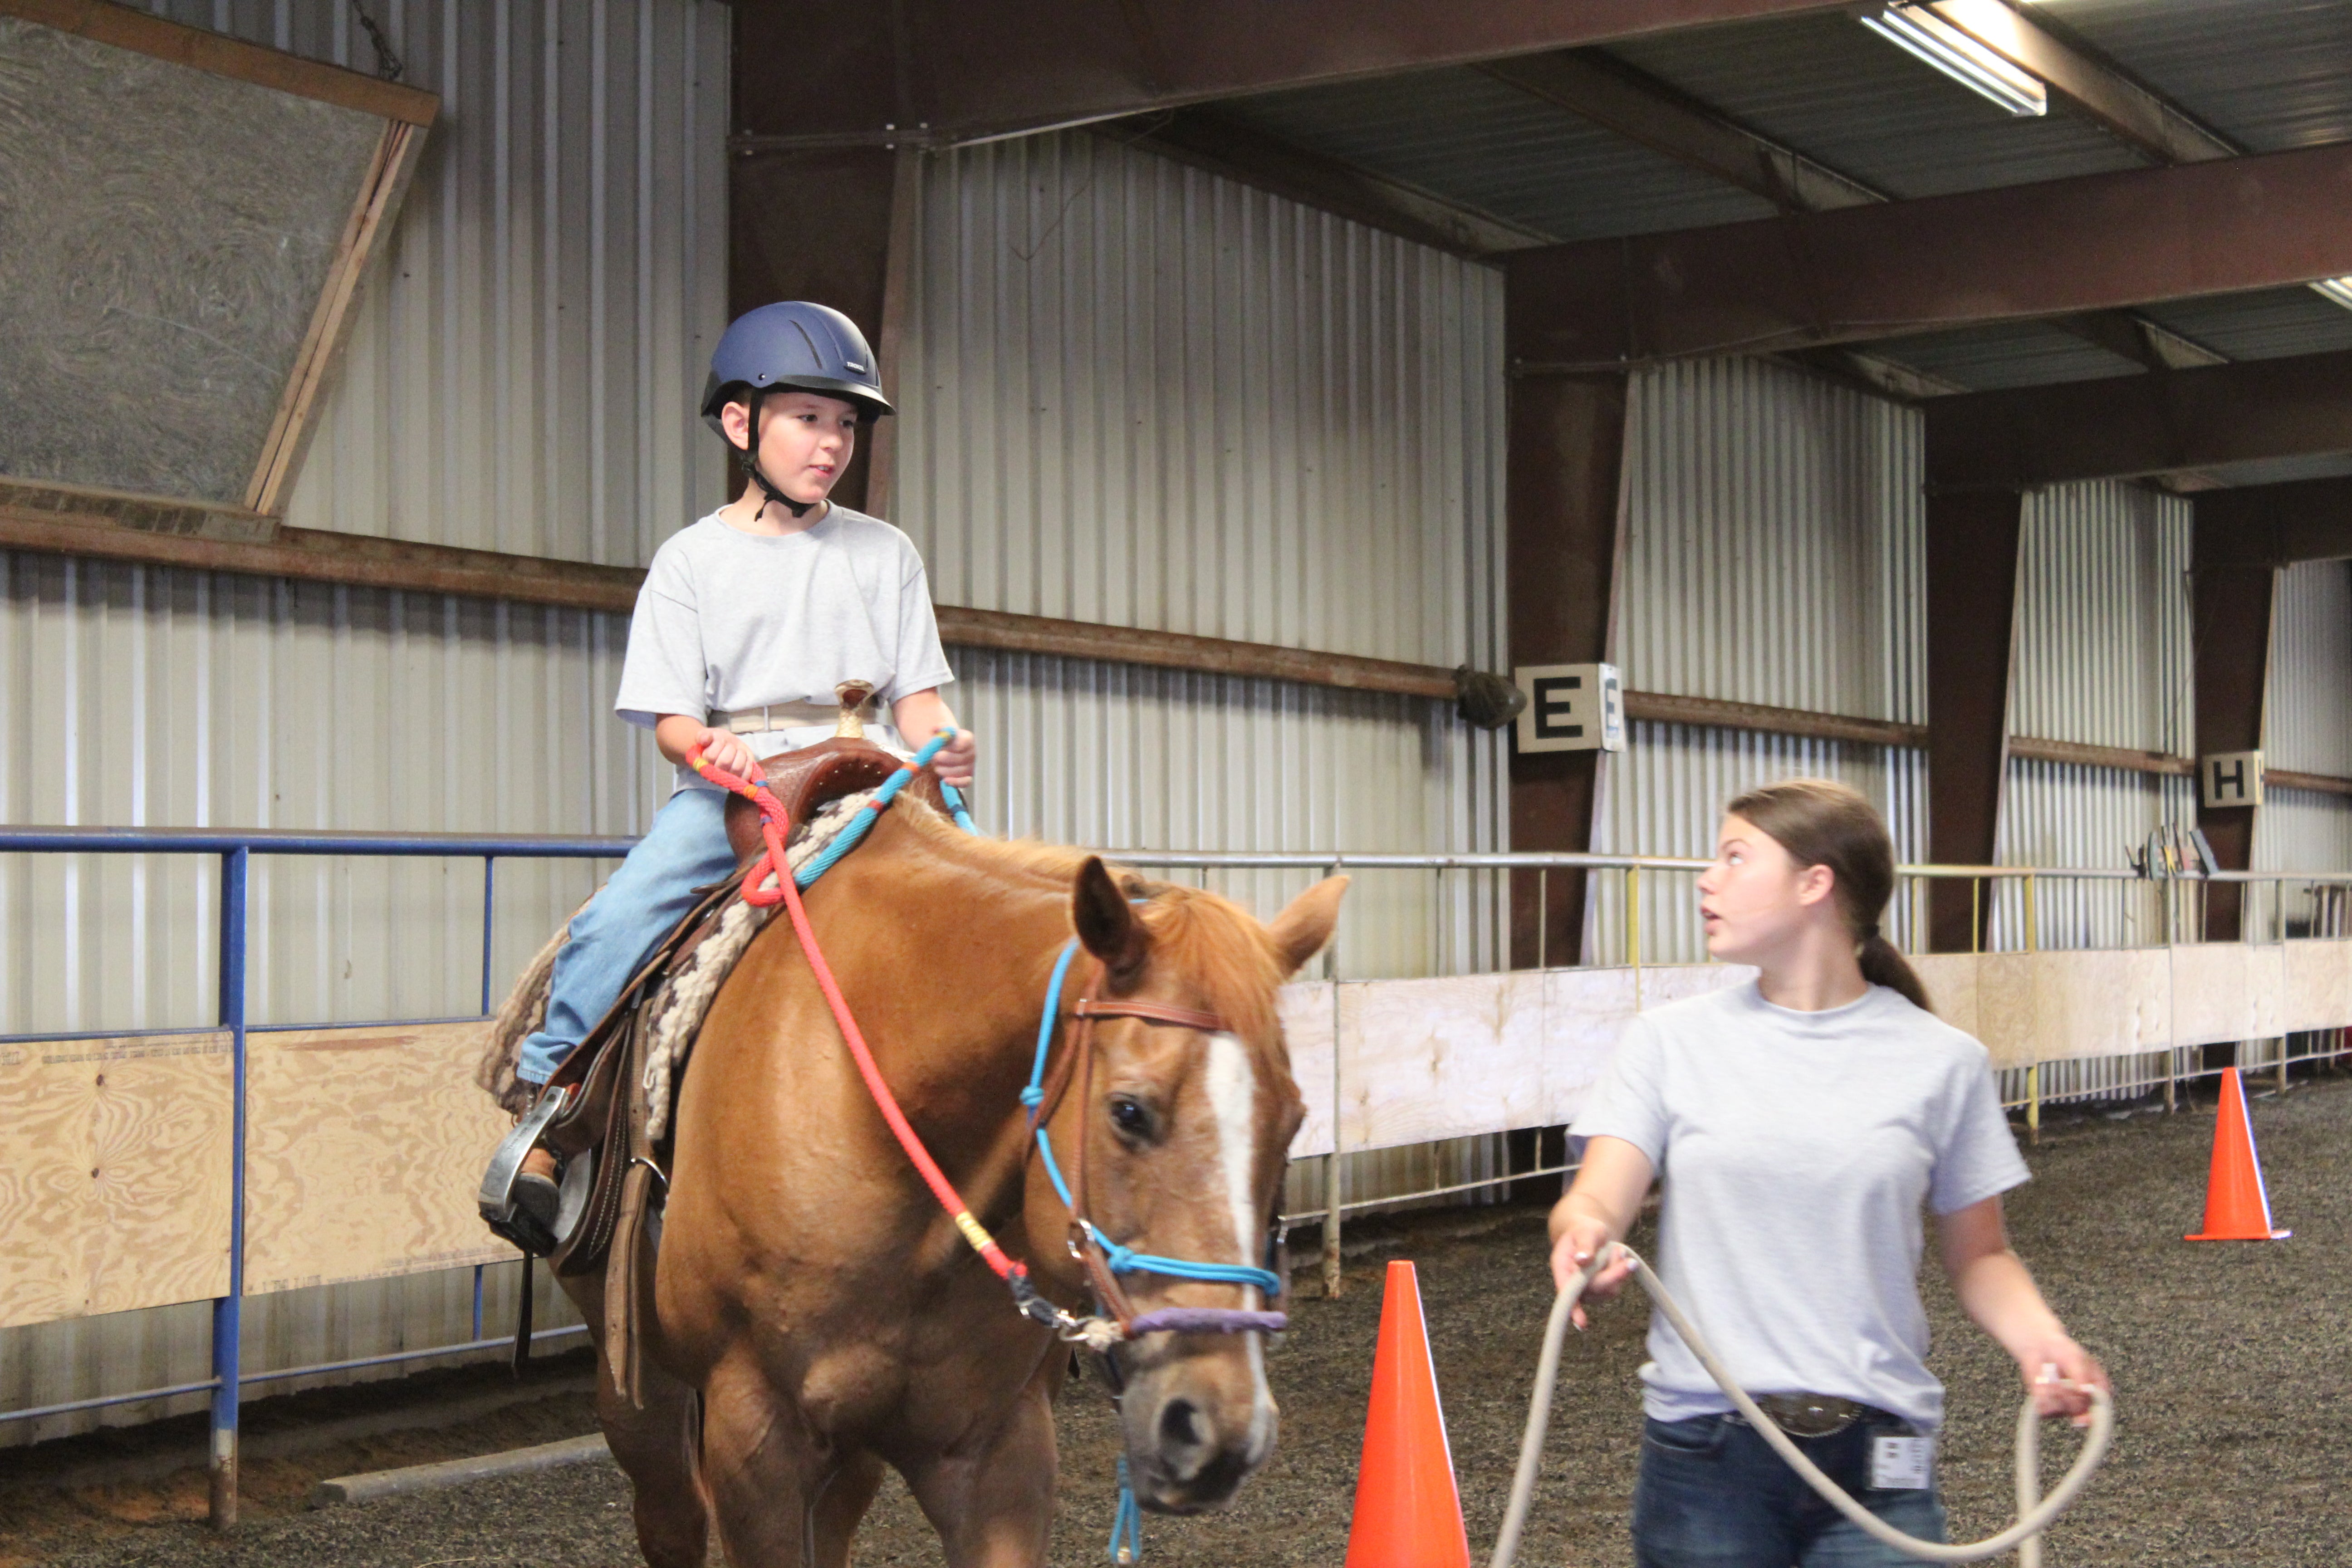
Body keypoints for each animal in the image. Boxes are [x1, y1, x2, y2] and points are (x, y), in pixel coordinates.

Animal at [557, 799, 1354, 1568]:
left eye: (1294, 1119)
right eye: (1128, 1111)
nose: (1222, 1432)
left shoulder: (997, 1451)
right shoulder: (754, 1440)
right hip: (641, 1389)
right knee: (671, 1516)